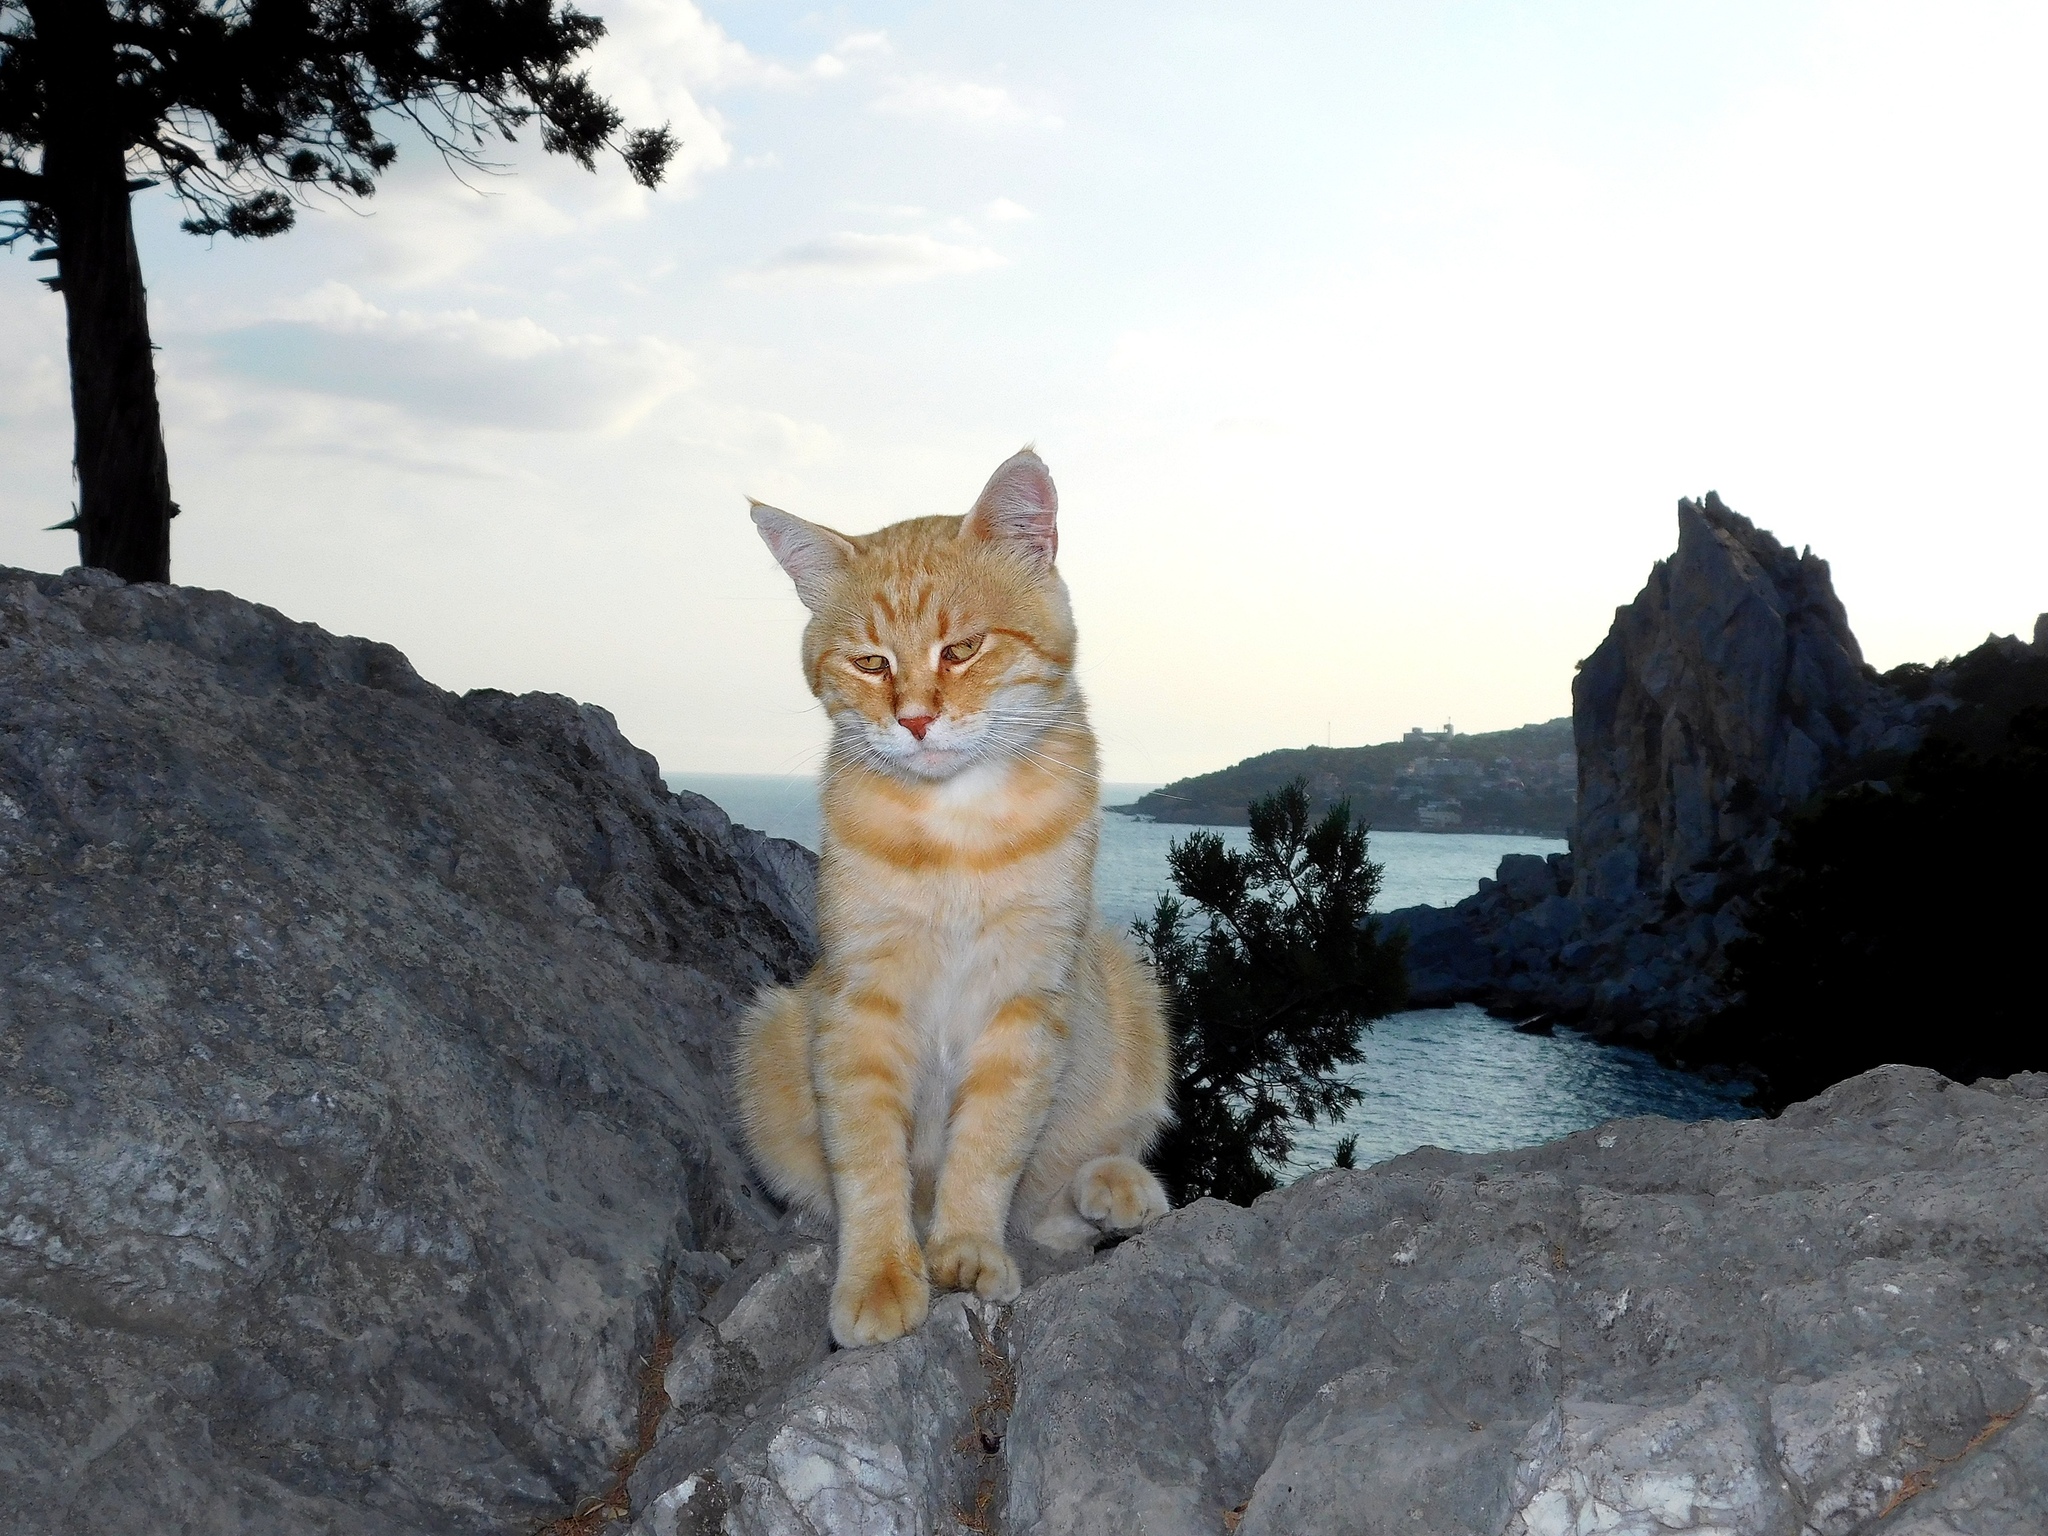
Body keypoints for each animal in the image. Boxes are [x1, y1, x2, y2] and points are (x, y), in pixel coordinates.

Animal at [735, 447, 1173, 1348]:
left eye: (963, 649)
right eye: (871, 663)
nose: (914, 721)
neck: (955, 831)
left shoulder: (1029, 1003)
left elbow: (992, 1145)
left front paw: (967, 1249)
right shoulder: (857, 1005)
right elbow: (868, 1161)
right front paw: (879, 1275)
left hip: (1130, 989)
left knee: (1059, 1194)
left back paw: (1115, 1187)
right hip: (769, 1033)